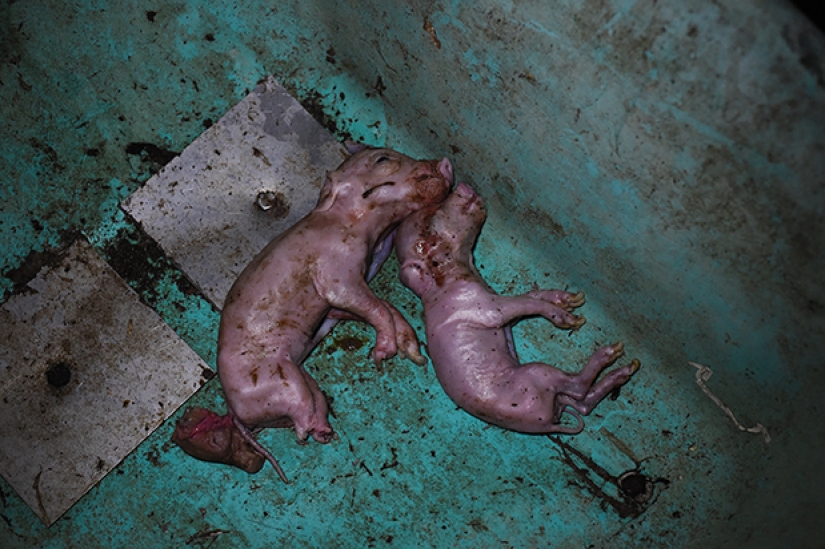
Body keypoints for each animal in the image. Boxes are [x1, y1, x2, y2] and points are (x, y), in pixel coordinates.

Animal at [173, 144, 454, 481]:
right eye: (383, 159)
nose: (445, 162)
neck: (365, 229)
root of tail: (232, 408)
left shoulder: (346, 292)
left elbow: (383, 306)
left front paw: (414, 353)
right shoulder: (337, 275)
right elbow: (373, 307)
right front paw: (381, 356)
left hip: (301, 382)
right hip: (281, 380)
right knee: (301, 426)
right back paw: (325, 433)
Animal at [395, 182, 640, 434]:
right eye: (431, 218)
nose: (463, 184)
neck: (461, 275)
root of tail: (547, 423)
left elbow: (528, 298)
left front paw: (570, 299)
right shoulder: (484, 307)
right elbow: (524, 304)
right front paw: (571, 318)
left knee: (583, 404)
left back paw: (626, 371)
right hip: (536, 375)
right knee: (577, 388)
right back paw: (613, 353)